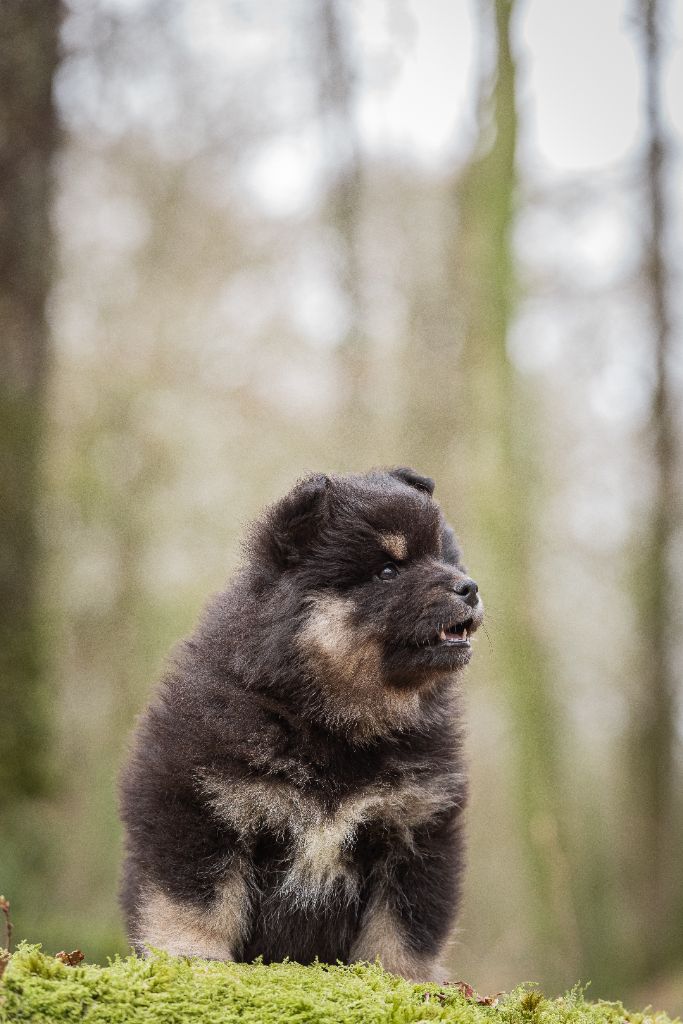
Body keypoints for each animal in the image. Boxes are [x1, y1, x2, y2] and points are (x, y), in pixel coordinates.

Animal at [119, 467, 483, 981]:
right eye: (388, 571)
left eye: (446, 560)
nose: (469, 587)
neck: (334, 723)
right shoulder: (198, 801)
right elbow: (196, 900)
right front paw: (194, 958)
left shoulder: (416, 825)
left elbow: (403, 925)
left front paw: (401, 979)